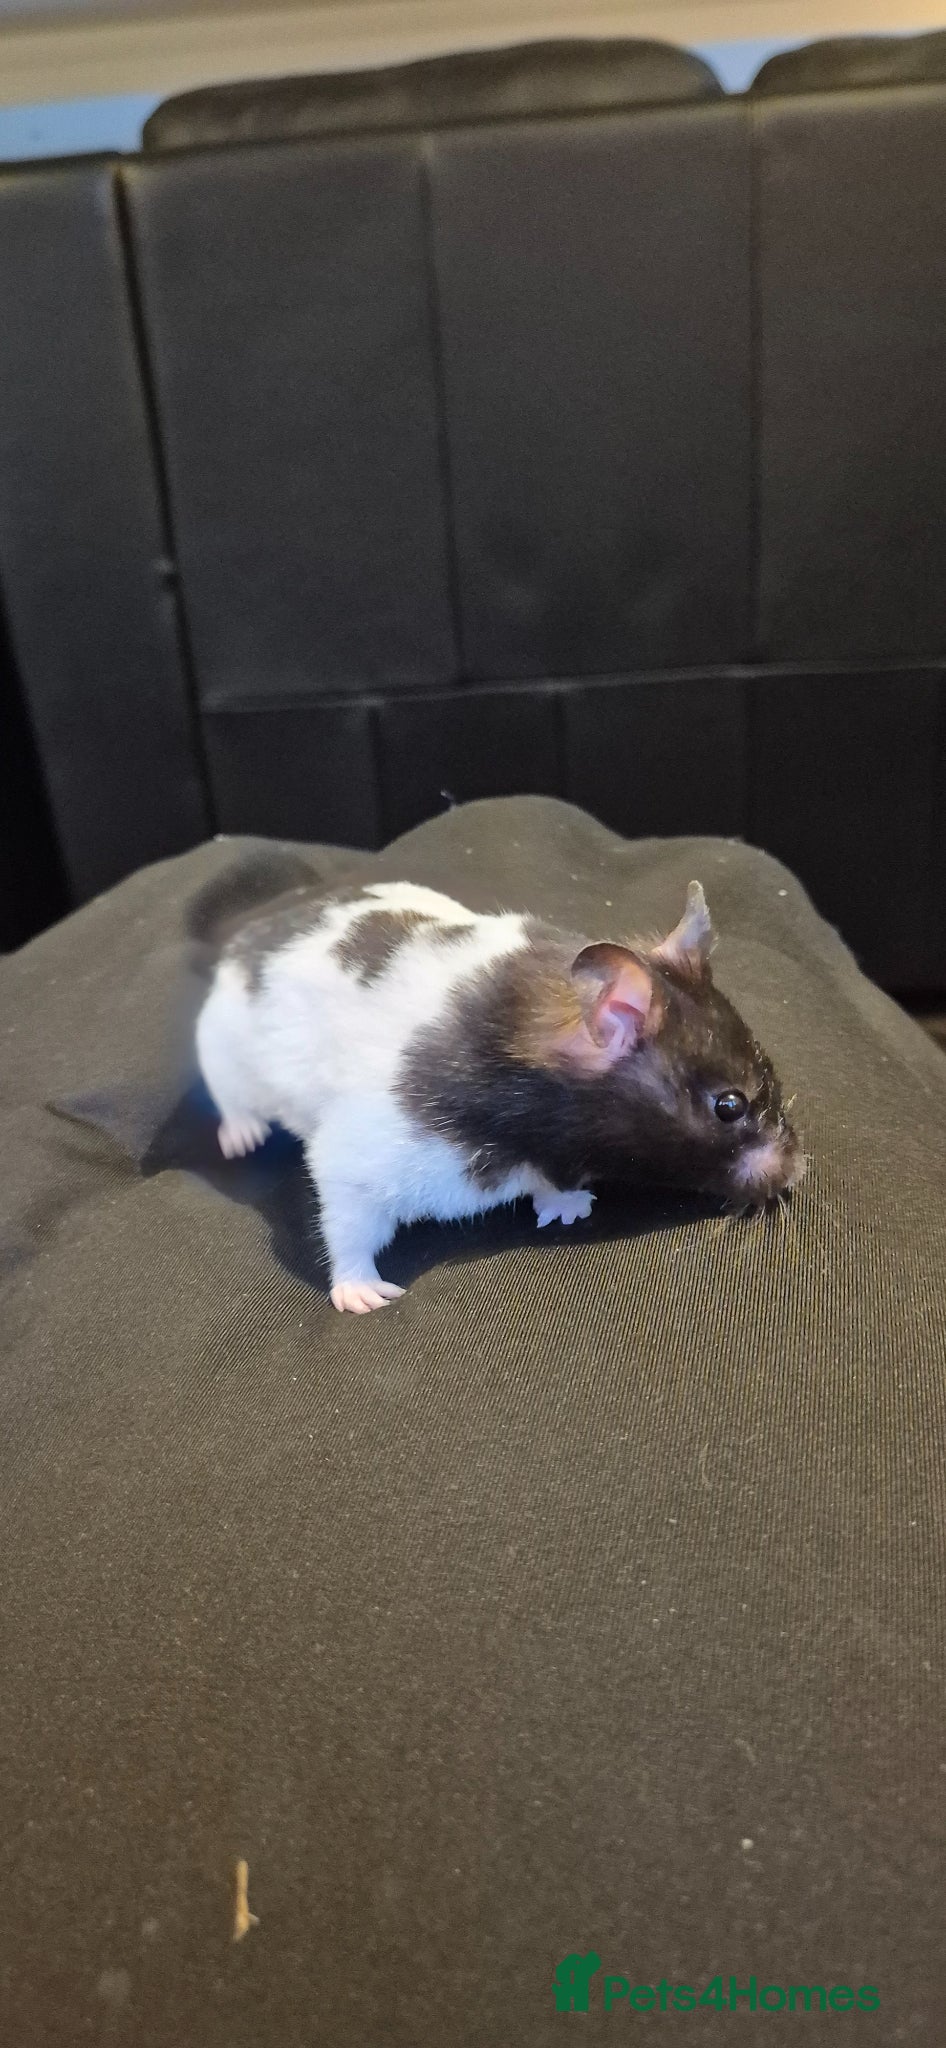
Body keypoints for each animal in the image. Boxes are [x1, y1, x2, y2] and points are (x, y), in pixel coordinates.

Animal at [192, 870, 803, 1313]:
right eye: (729, 1106)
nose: (798, 1173)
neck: (536, 1132)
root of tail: (253, 924)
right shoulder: (355, 1163)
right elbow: (351, 1230)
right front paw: (367, 1298)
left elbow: (552, 1189)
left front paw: (572, 1210)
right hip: (221, 1052)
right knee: (233, 1104)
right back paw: (242, 1138)